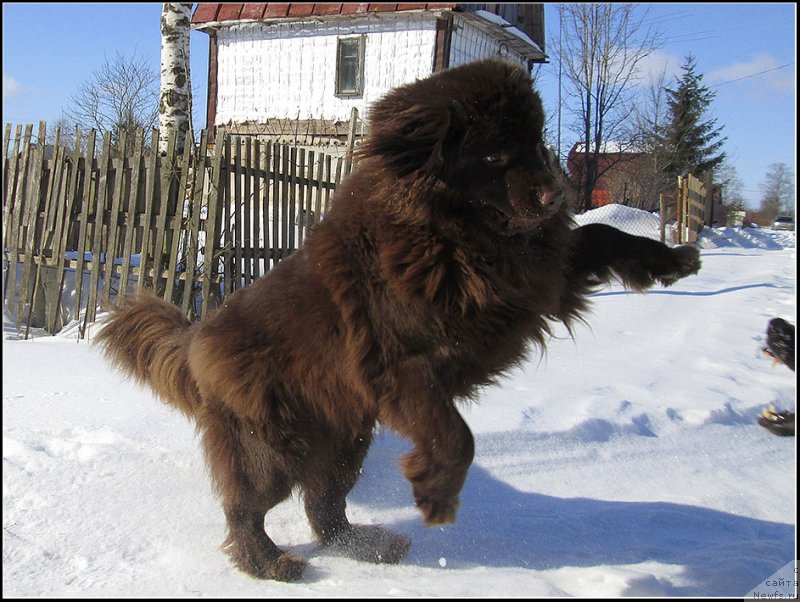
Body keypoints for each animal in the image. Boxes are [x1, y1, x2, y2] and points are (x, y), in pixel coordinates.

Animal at [97, 58, 704, 580]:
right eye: (493, 156)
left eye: (535, 143)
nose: (557, 194)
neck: (454, 238)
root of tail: (198, 334)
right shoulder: (400, 365)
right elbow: (456, 435)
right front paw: (436, 495)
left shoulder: (534, 284)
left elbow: (600, 234)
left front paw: (671, 261)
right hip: (271, 445)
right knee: (246, 508)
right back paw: (270, 564)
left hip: (345, 440)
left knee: (324, 506)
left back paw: (369, 545)